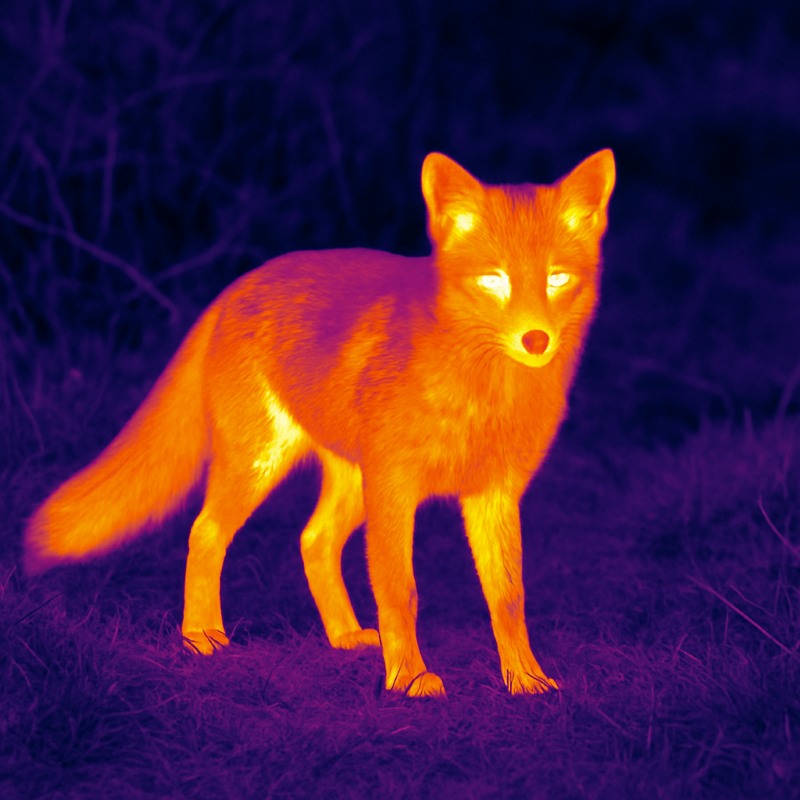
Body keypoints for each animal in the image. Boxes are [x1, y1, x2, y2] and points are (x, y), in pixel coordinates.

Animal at [24, 149, 615, 697]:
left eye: (557, 279)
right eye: (494, 280)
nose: (535, 340)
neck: (481, 398)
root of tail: (240, 283)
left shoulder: (493, 493)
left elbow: (508, 598)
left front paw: (523, 680)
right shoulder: (395, 489)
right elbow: (401, 592)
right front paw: (408, 680)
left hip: (349, 482)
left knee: (313, 540)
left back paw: (343, 636)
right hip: (263, 463)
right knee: (206, 531)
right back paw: (201, 637)